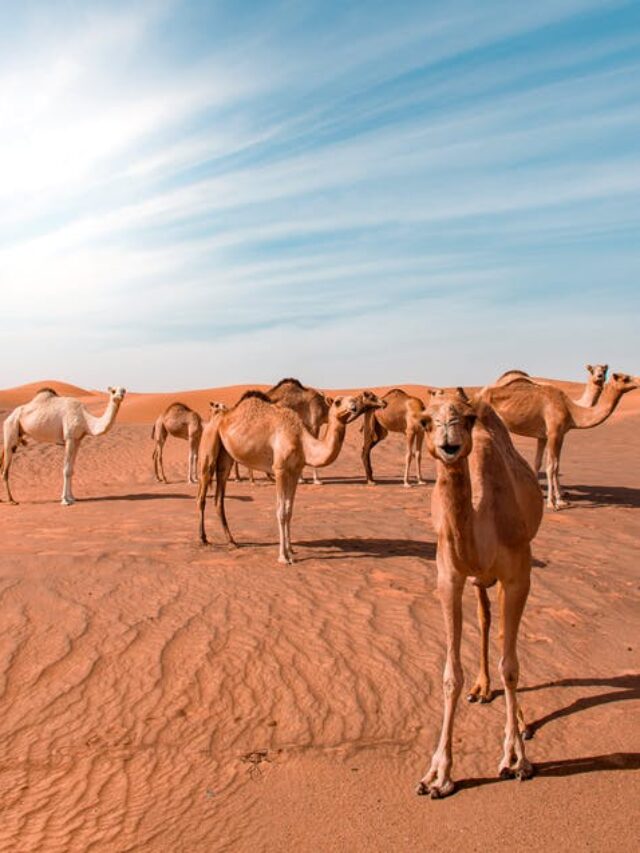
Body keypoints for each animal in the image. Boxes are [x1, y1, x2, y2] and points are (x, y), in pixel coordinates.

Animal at [198, 390, 382, 564]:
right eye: (337, 402)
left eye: (354, 399)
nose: (353, 407)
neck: (302, 441)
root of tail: (217, 417)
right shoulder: (280, 469)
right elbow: (280, 511)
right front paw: (283, 557)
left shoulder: (294, 471)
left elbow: (289, 511)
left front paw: (291, 551)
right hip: (209, 445)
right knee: (202, 494)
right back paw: (203, 539)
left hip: (226, 458)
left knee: (219, 498)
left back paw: (232, 541)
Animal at [412, 390, 544, 796]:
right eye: (426, 420)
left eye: (467, 419)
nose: (449, 445)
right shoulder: (449, 577)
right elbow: (450, 675)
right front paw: (438, 775)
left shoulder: (518, 574)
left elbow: (511, 666)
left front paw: (516, 759)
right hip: (477, 581)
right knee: (486, 619)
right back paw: (482, 688)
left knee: (501, 637)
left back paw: (520, 722)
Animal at [482, 372, 636, 510]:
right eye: (625, 378)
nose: (638, 381)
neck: (571, 410)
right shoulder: (553, 433)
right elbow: (551, 467)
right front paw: (552, 503)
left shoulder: (552, 436)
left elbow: (552, 465)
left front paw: (560, 500)